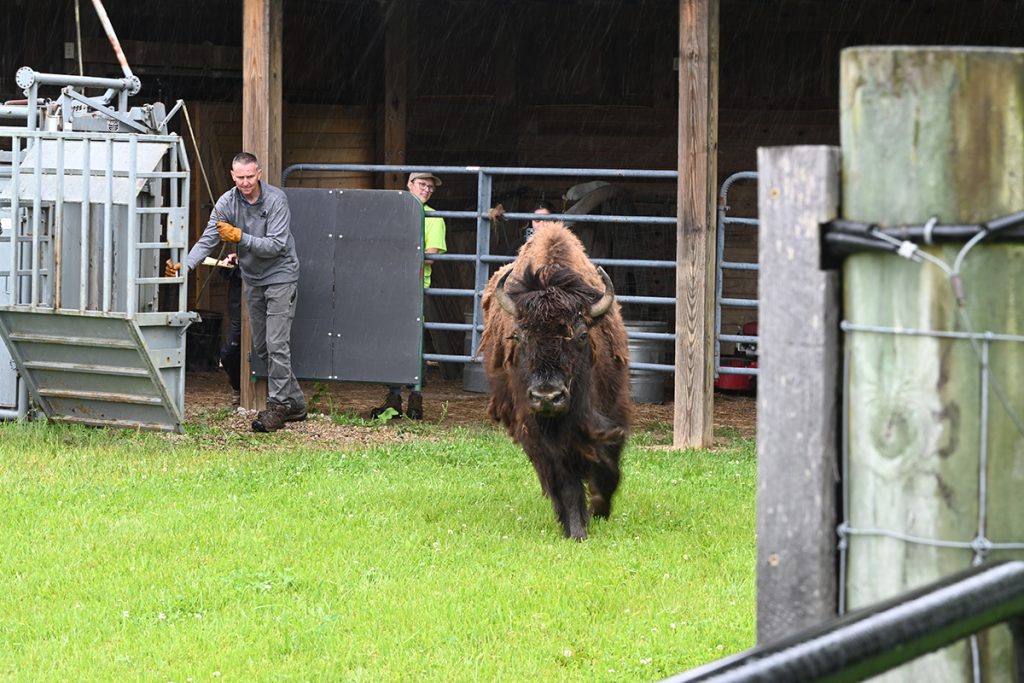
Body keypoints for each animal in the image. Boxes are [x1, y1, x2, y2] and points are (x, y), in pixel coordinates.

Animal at [478, 224, 632, 540]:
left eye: (582, 335)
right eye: (519, 336)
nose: (547, 396)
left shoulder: (614, 415)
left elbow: (609, 467)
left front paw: (599, 507)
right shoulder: (542, 434)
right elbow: (566, 481)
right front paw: (576, 529)